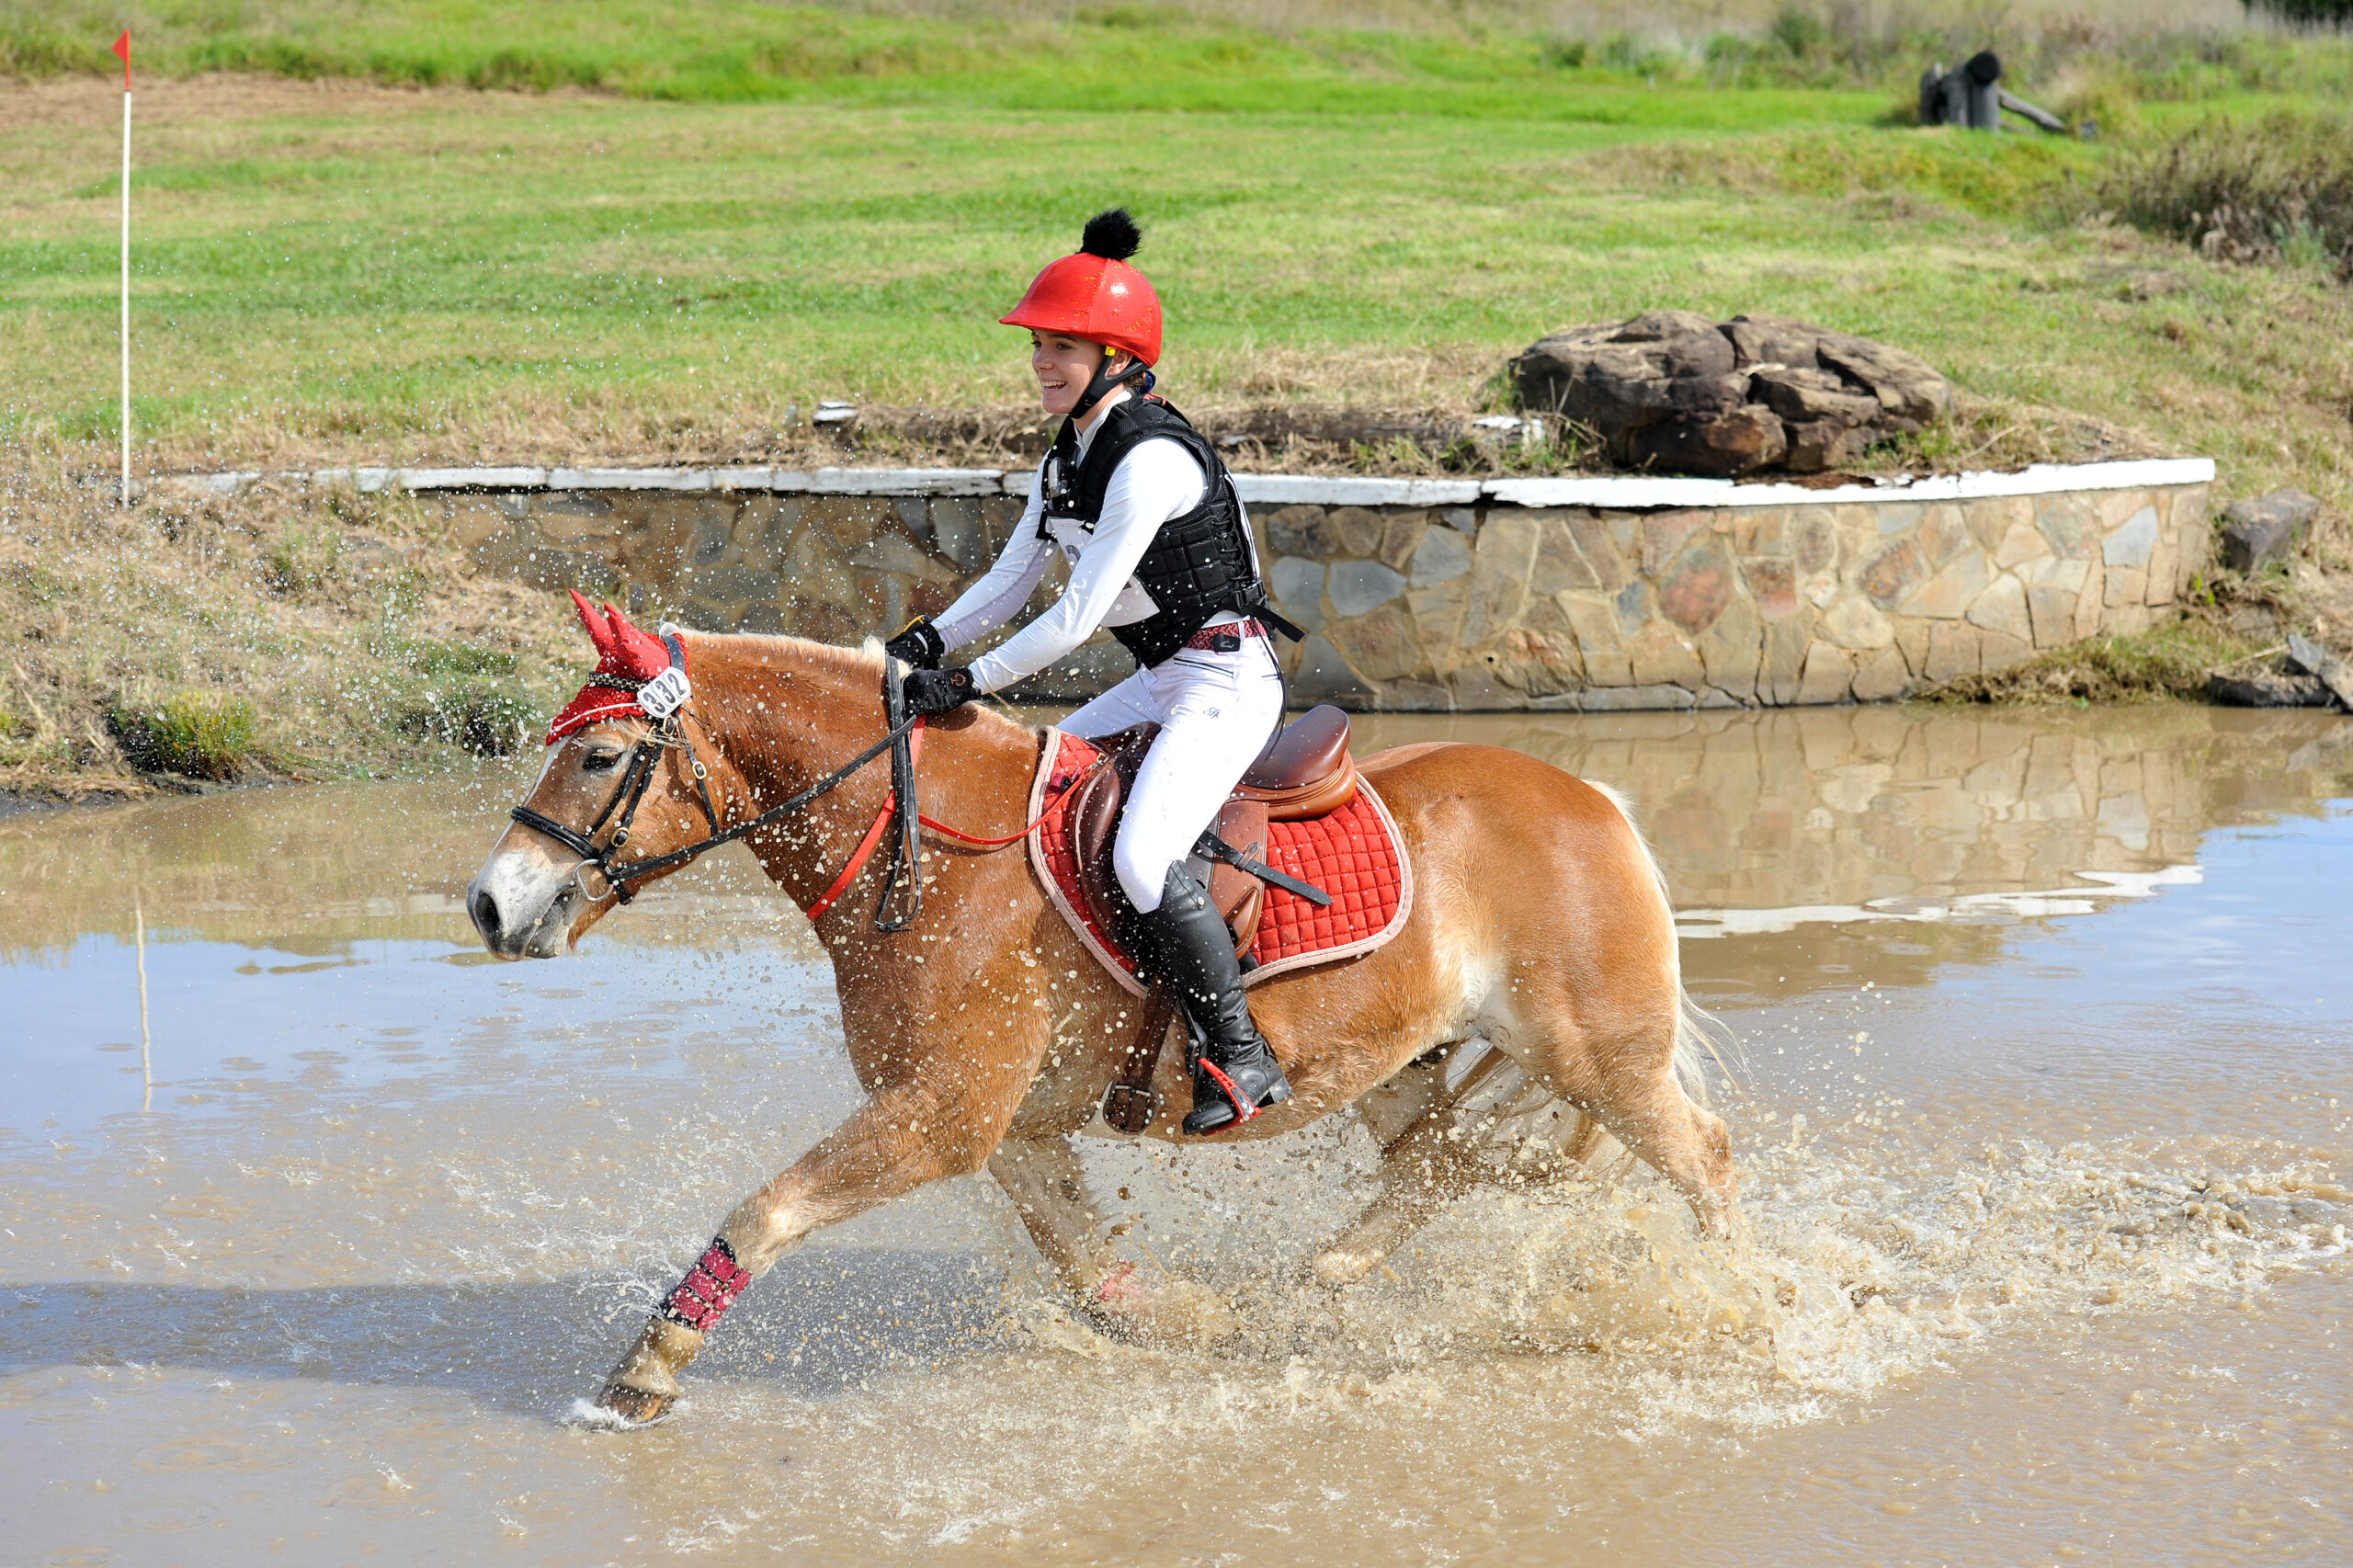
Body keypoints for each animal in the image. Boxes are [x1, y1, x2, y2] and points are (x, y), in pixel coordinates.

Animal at [468, 621, 1741, 1412]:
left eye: (600, 755)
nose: (491, 902)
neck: (929, 849)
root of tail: (1593, 798)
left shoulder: (940, 1116)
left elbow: (765, 1211)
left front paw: (646, 1371)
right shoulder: (1013, 1127)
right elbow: (1090, 1267)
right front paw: (1199, 1327)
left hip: (1600, 1057)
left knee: (1705, 1160)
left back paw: (1751, 1309)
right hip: (1395, 1062)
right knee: (1437, 1164)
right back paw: (1310, 1286)